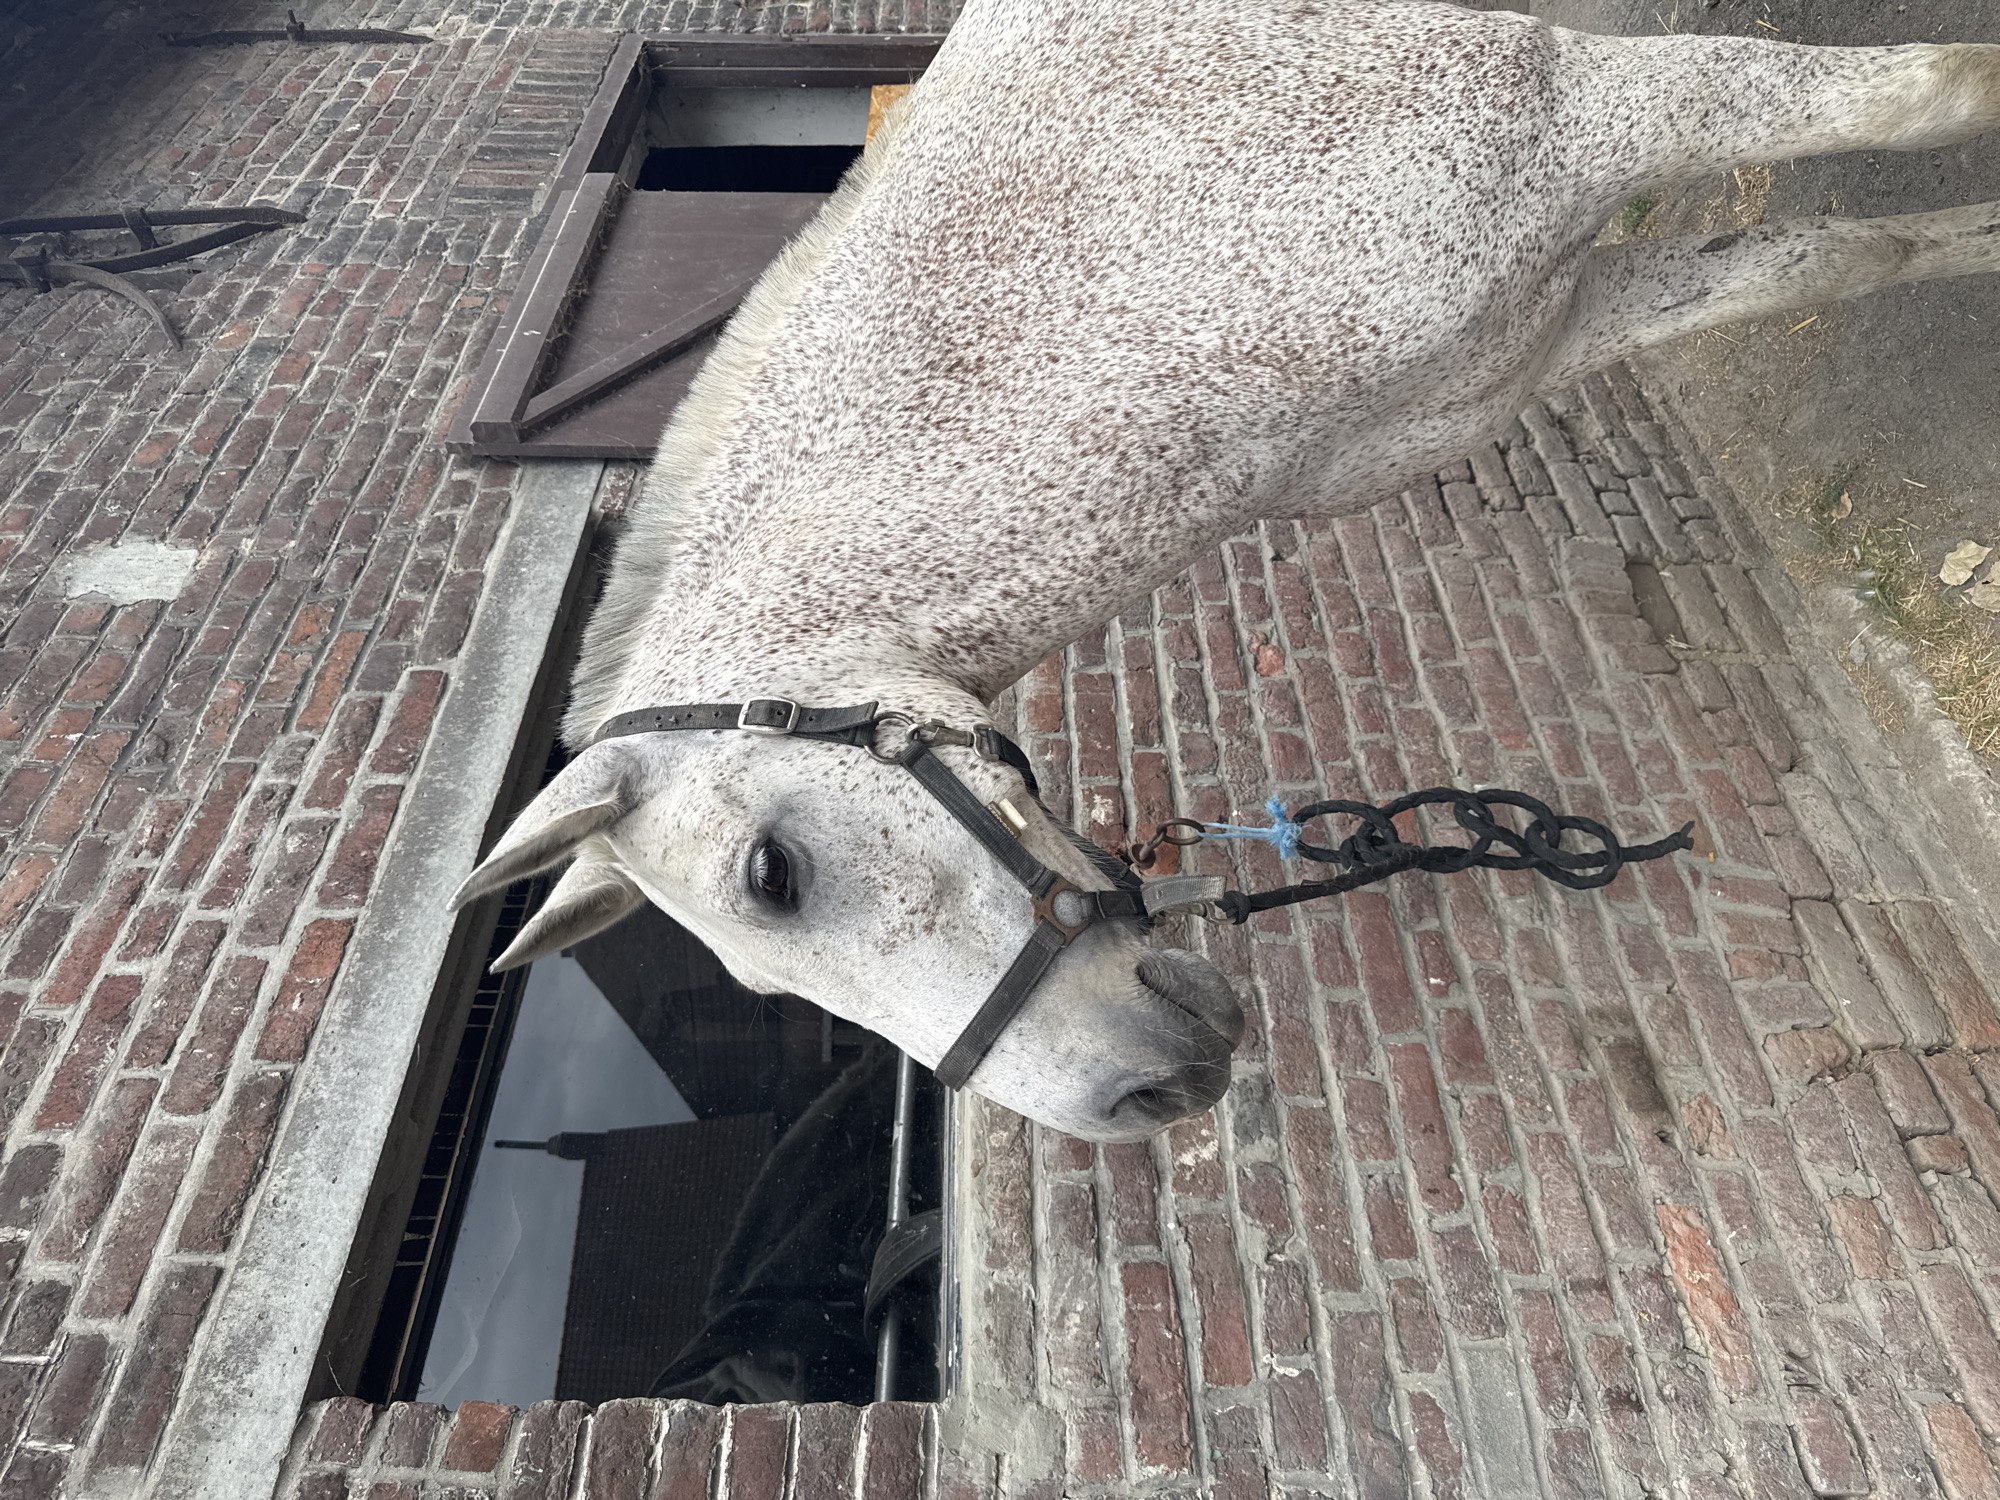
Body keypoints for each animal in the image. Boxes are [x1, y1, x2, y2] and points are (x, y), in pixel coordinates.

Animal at [451, 0, 2000, 1141]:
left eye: (773, 873)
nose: (1147, 1097)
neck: (1123, 283)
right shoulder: (1545, 332)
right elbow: (1833, 258)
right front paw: (1975, 245)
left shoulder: (1581, 106)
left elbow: (1935, 87)